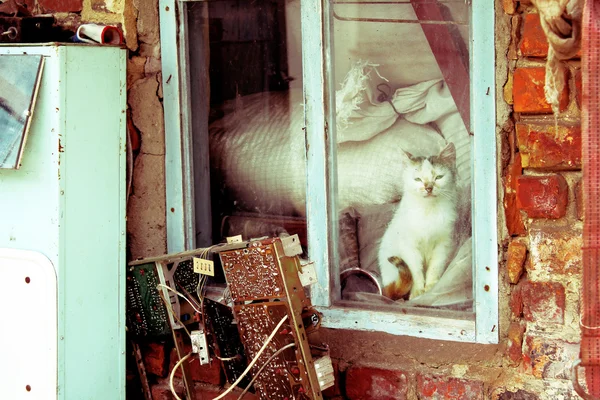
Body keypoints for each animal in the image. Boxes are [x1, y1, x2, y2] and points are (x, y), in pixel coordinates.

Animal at [380, 143, 460, 300]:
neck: (428, 211)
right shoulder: (409, 246)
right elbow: (415, 270)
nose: (428, 188)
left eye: (439, 177)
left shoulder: (443, 244)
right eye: (417, 179)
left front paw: (431, 287)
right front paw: (417, 291)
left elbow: (435, 267)